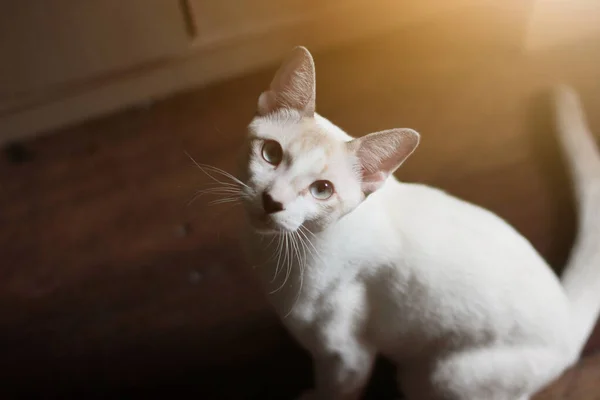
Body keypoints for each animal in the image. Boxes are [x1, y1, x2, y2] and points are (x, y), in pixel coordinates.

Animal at [231, 47, 600, 400]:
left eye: (322, 190)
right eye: (271, 153)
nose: (272, 201)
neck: (270, 252)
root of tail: (567, 317)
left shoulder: (346, 356)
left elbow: (333, 391)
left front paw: (312, 395)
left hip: (437, 376)